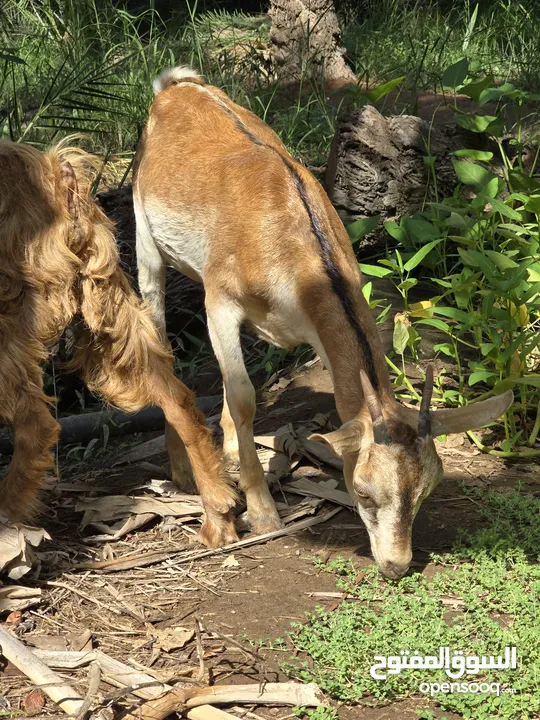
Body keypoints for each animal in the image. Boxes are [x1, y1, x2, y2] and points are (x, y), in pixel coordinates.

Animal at [0, 139, 236, 544]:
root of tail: (55, 174)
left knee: (36, 426)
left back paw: (7, 514)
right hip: (110, 312)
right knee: (178, 399)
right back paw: (217, 508)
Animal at [132, 69, 516, 580]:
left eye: (428, 489)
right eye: (365, 490)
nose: (397, 564)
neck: (287, 242)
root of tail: (177, 86)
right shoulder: (221, 299)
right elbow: (244, 394)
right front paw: (263, 513)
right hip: (145, 239)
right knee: (160, 339)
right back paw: (180, 469)